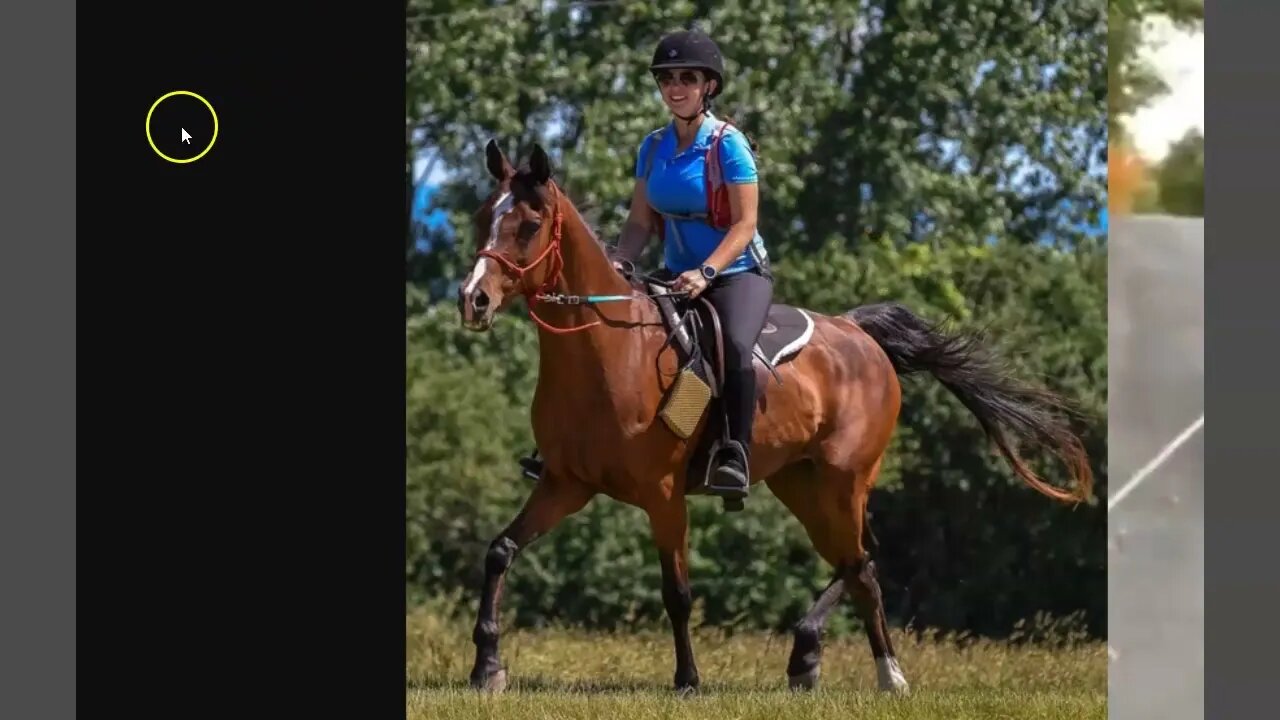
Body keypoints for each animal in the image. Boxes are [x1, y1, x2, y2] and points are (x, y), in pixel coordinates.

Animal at [450, 139, 1090, 691]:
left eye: (529, 225)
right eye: (484, 217)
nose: (473, 300)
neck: (609, 352)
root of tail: (860, 334)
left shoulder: (663, 493)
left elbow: (676, 592)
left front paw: (688, 680)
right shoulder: (566, 483)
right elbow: (500, 551)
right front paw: (487, 667)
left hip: (843, 480)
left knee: (859, 561)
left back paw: (886, 675)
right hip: (799, 481)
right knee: (858, 559)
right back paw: (808, 658)